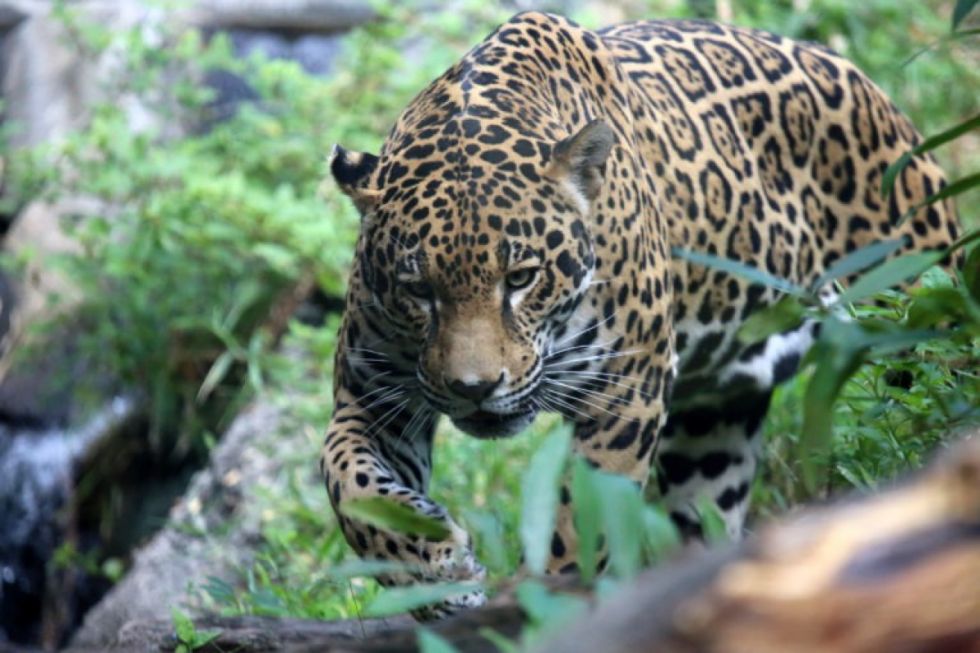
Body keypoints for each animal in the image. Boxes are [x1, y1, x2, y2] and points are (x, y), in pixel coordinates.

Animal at [320, 11, 960, 618]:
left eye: (521, 278)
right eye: (418, 289)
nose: (474, 389)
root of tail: (873, 89)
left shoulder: (624, 392)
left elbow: (581, 525)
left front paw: (543, 606)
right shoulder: (373, 394)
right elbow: (348, 483)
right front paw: (436, 574)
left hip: (922, 323)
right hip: (713, 426)